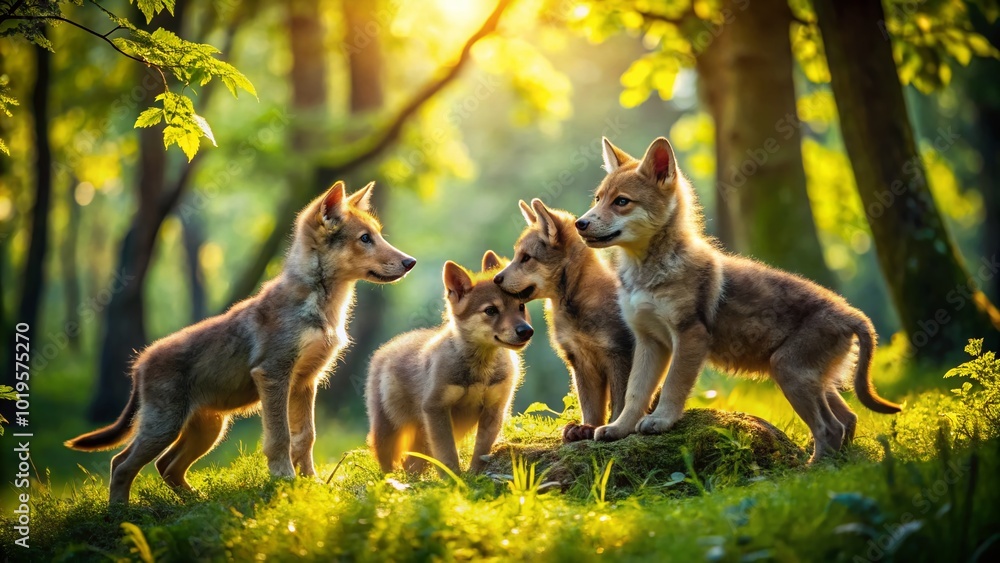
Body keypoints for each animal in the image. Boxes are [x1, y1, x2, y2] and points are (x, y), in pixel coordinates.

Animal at [66, 181, 416, 504]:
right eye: (365, 238)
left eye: (378, 235)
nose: (409, 262)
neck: (324, 306)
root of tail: (140, 364)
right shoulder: (274, 374)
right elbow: (280, 438)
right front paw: (285, 480)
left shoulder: (306, 382)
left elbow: (306, 437)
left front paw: (312, 483)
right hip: (164, 425)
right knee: (121, 464)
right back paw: (120, 514)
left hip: (208, 429)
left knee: (166, 466)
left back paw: (196, 500)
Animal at [366, 251, 533, 474]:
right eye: (490, 310)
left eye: (521, 306)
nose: (526, 331)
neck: (480, 369)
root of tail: (385, 349)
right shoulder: (436, 409)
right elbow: (447, 455)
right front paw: (454, 480)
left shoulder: (494, 409)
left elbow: (481, 450)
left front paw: (474, 475)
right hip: (388, 428)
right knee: (389, 463)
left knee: (412, 463)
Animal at [493, 198, 633, 442]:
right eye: (516, 255)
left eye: (526, 258)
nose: (495, 278)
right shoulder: (580, 361)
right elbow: (591, 406)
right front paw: (586, 427)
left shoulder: (619, 353)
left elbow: (620, 403)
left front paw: (613, 427)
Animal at [576, 136, 900, 461]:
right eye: (598, 199)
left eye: (621, 202)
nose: (580, 223)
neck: (646, 271)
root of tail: (851, 314)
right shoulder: (649, 341)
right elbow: (635, 393)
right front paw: (618, 428)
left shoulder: (689, 335)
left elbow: (672, 386)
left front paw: (661, 420)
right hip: (811, 379)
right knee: (847, 419)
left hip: (789, 371)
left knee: (830, 427)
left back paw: (815, 468)